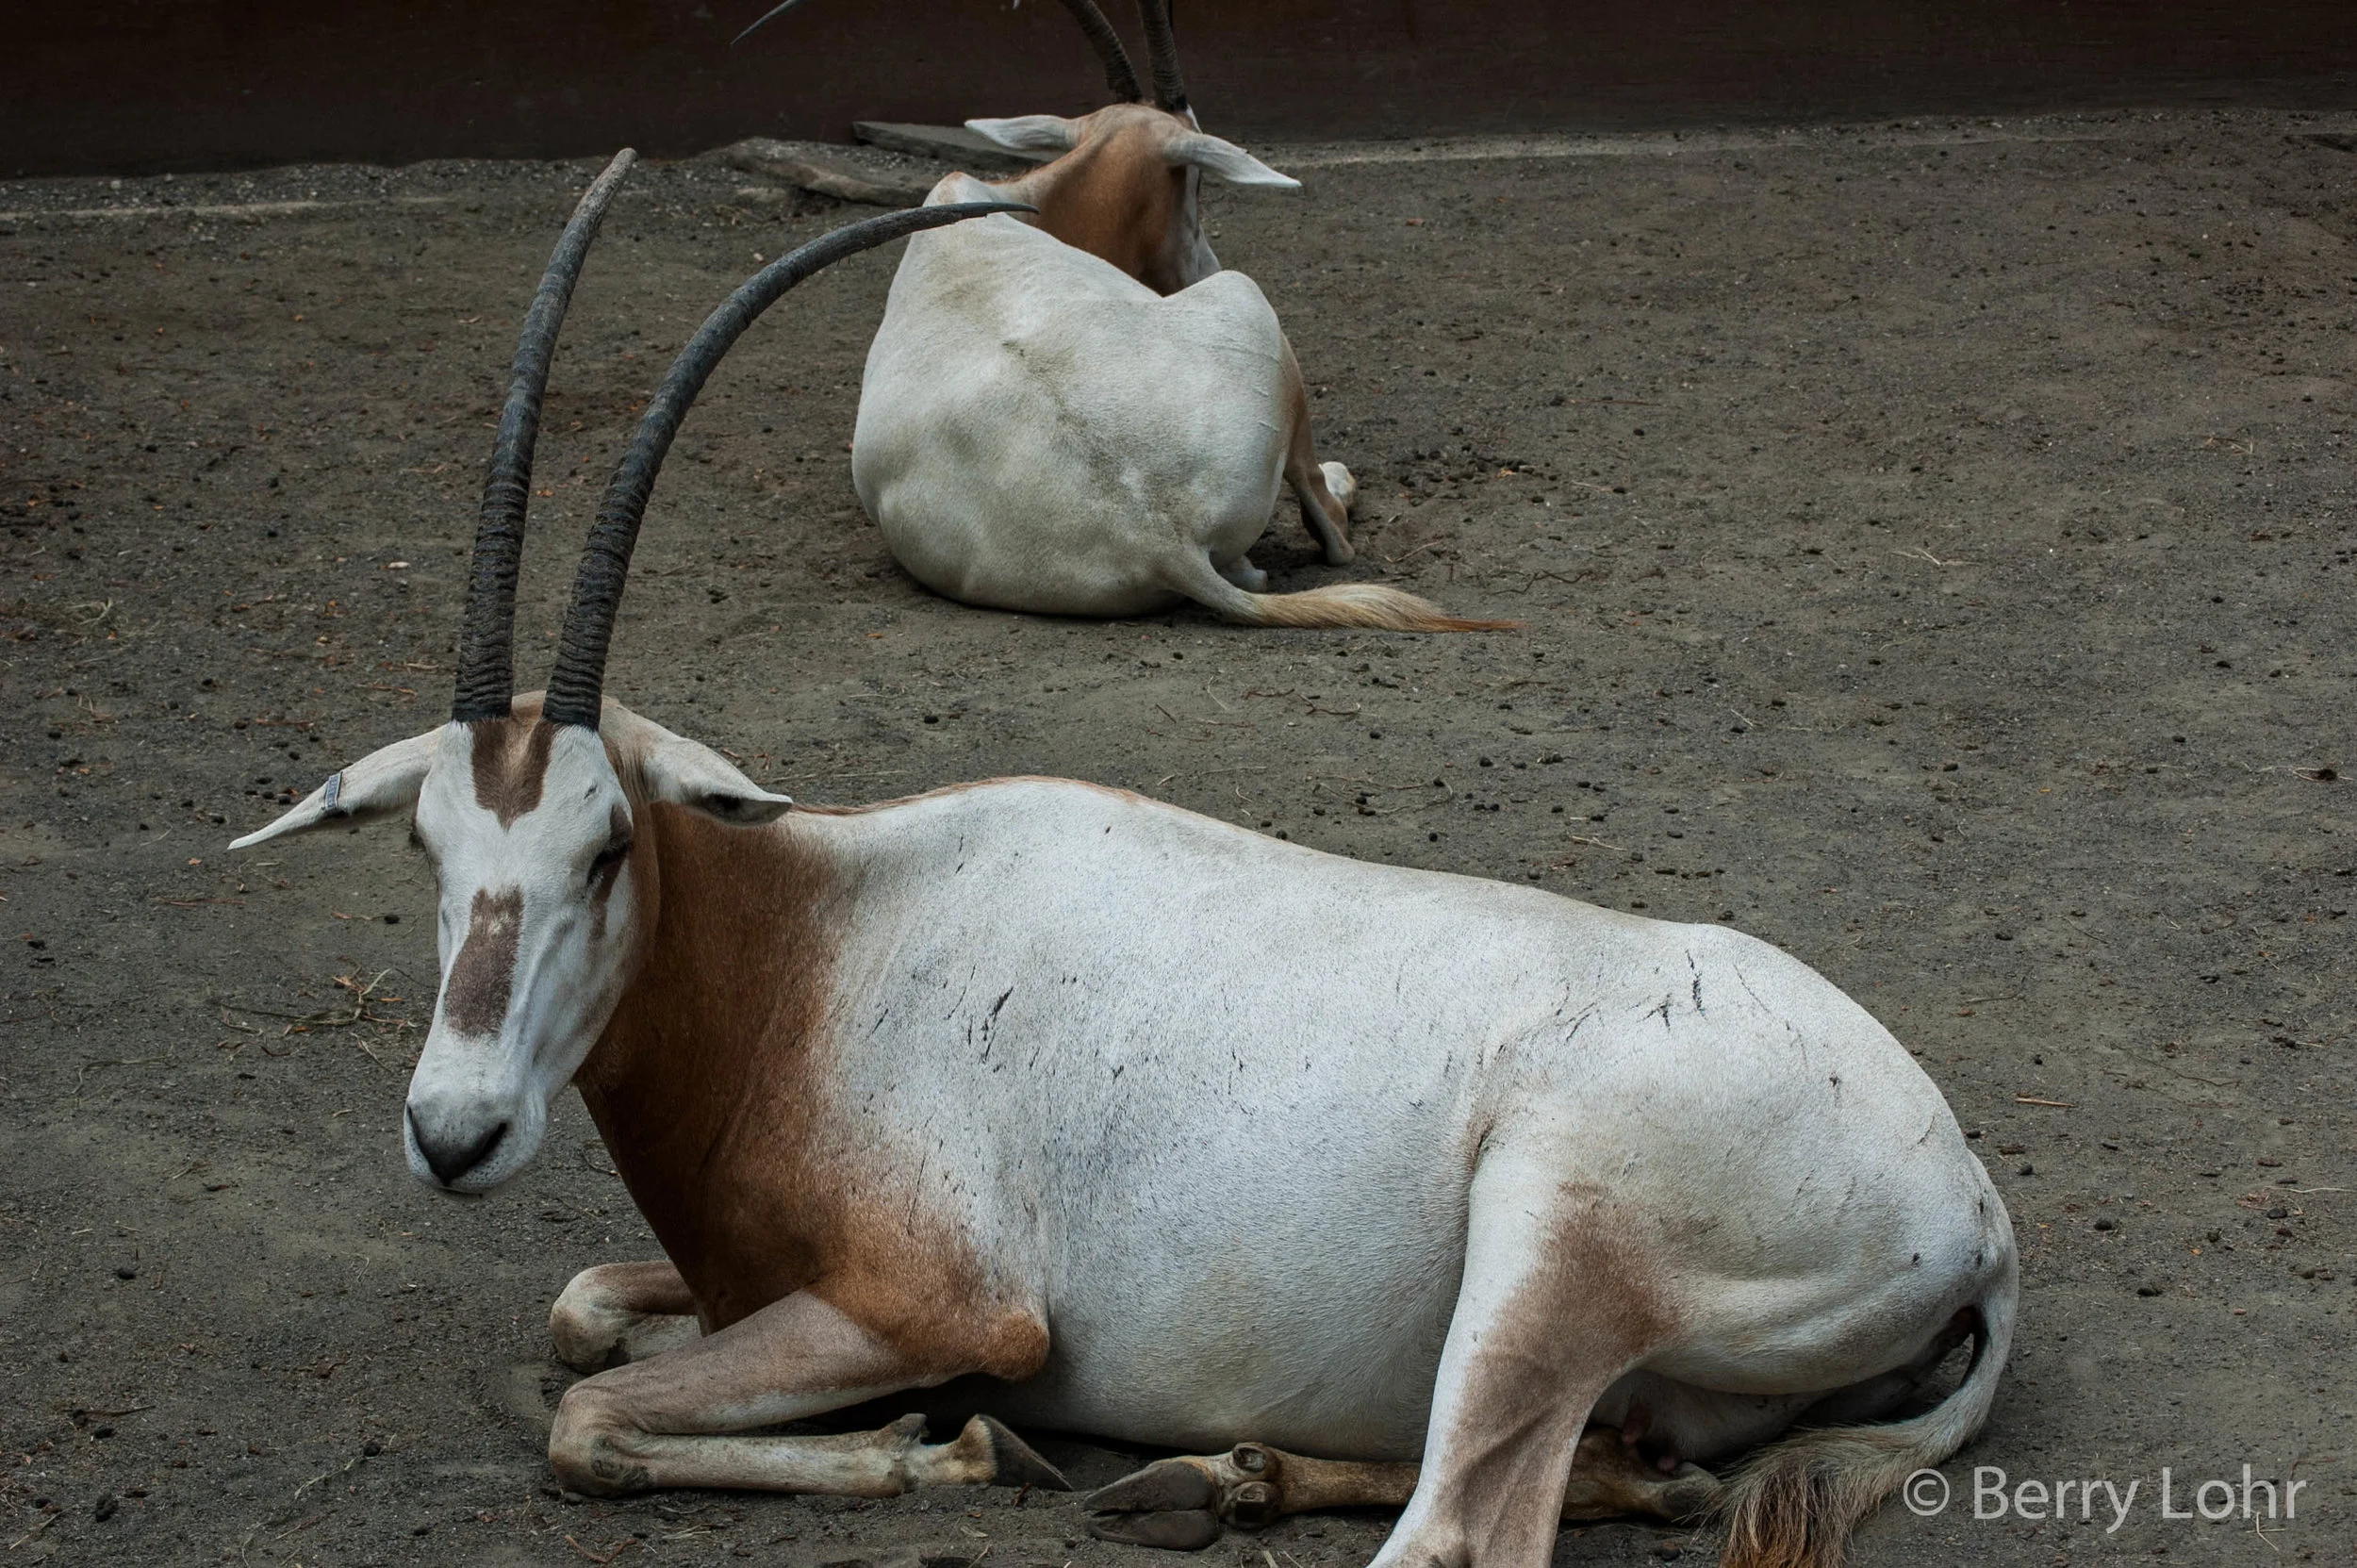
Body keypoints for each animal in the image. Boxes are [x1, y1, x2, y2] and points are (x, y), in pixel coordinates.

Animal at [232, 154, 2018, 1568]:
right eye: (427, 838)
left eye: (607, 843)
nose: (455, 1131)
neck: (815, 947)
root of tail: (1977, 1202)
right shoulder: (743, 1275)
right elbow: (580, 1311)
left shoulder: (941, 1303)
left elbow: (587, 1414)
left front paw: (943, 1445)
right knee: (1614, 1457)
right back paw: (1225, 1475)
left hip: (1548, 1236)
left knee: (1455, 1531)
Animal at [745, 0, 1511, 631]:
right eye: (1197, 180)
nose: (1199, 262)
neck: (993, 202)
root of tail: (1156, 530)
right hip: (1249, 303)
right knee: (1332, 533)